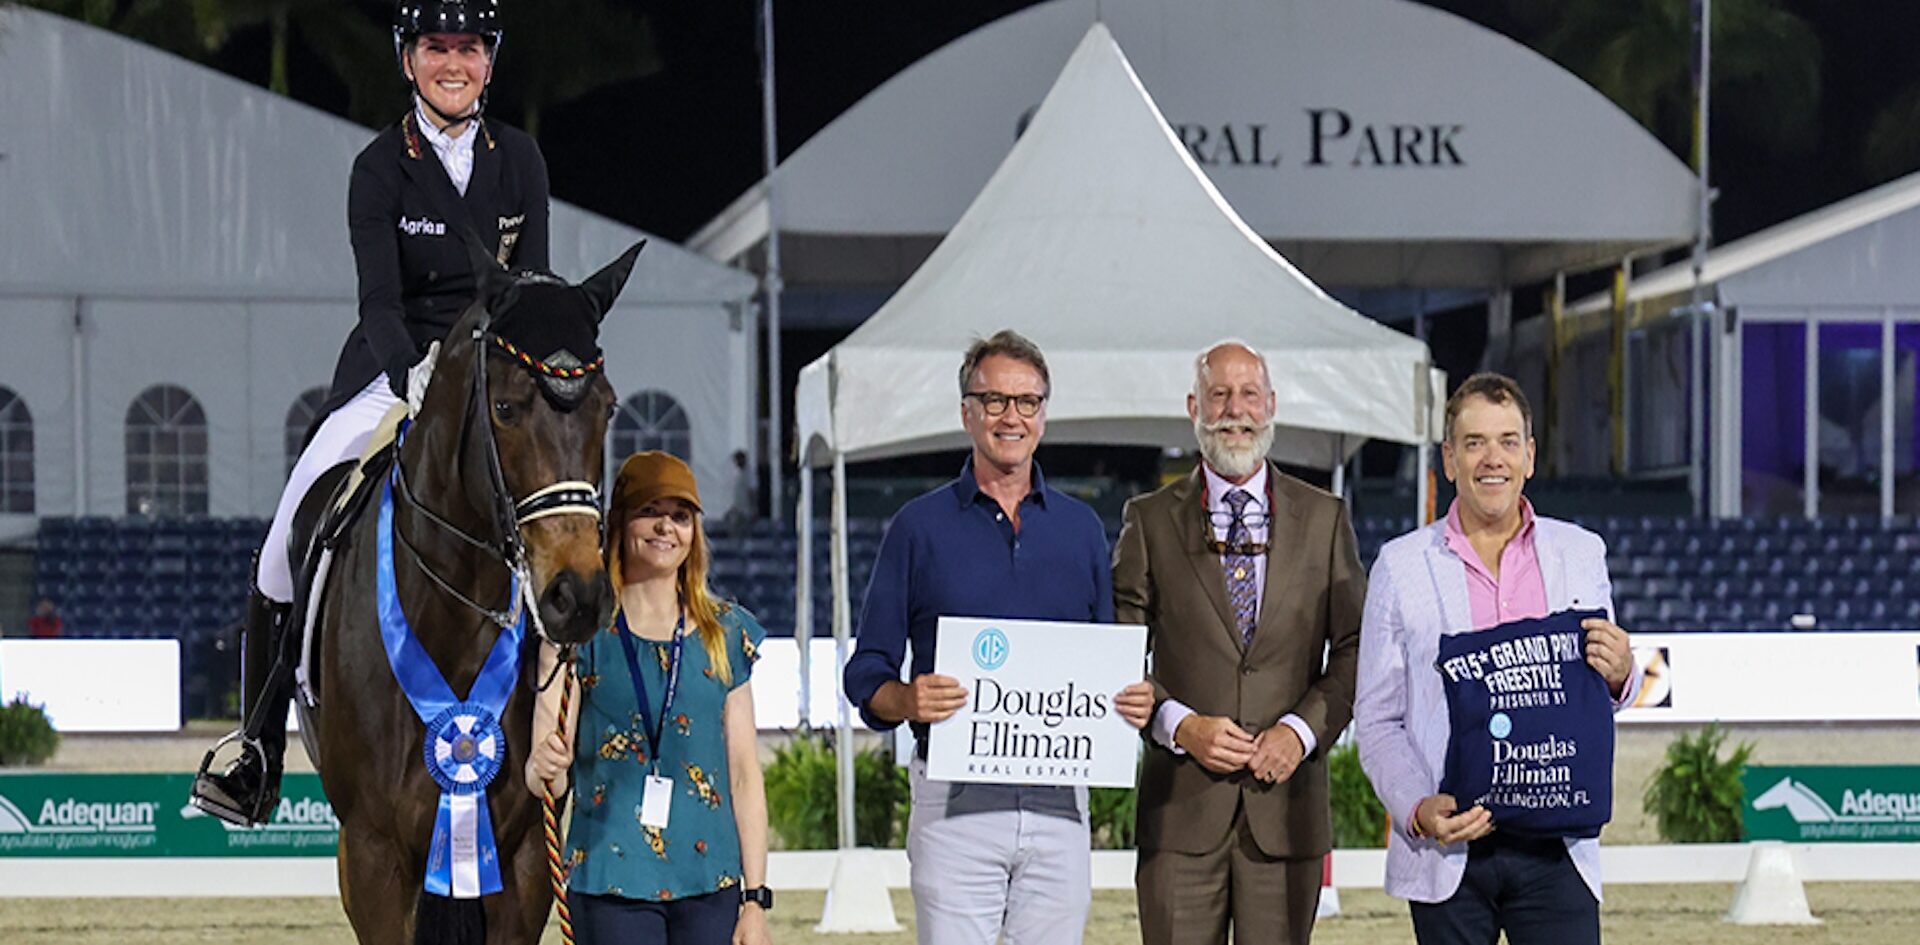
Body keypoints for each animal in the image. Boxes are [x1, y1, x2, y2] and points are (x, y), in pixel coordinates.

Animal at [298, 243, 641, 944]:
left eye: (610, 408)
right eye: (505, 408)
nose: (577, 597)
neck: (450, 617)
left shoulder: (526, 852)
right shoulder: (370, 855)